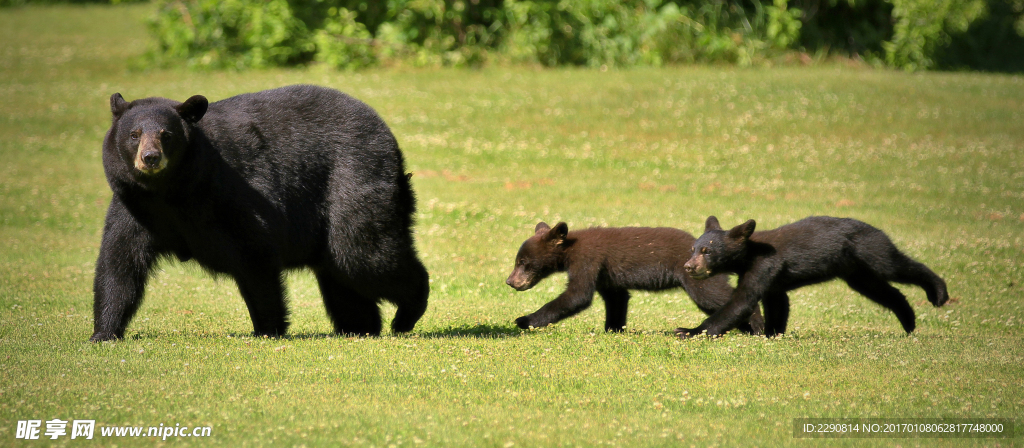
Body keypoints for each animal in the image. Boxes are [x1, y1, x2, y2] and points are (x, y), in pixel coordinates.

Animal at [91, 84, 429, 342]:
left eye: (166, 134)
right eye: (134, 134)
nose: (150, 157)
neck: (169, 191)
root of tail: (389, 137)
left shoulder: (231, 193)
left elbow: (255, 256)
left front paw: (268, 327)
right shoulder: (134, 206)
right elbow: (119, 262)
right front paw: (103, 332)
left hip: (354, 181)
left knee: (362, 254)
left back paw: (406, 314)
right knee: (341, 275)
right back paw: (360, 327)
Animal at [505, 221, 765, 334]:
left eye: (523, 263)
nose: (510, 281)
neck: (570, 249)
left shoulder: (589, 260)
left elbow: (577, 295)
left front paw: (525, 320)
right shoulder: (606, 274)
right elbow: (616, 299)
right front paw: (613, 329)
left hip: (696, 276)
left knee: (718, 296)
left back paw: (757, 325)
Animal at [678, 215, 949, 338]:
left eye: (707, 251)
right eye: (692, 249)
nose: (689, 266)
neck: (749, 253)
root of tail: (878, 230)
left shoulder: (765, 264)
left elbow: (741, 302)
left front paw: (687, 330)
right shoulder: (773, 279)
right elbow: (778, 303)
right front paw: (772, 334)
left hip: (872, 250)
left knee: (897, 266)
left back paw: (938, 293)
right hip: (856, 272)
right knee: (884, 291)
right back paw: (909, 323)